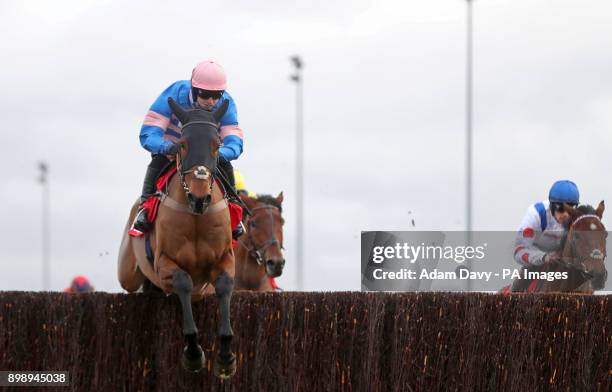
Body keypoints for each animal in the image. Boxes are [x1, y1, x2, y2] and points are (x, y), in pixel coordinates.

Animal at [117, 96, 237, 378]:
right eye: (182, 144)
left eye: (217, 145)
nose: (199, 197)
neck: (196, 216)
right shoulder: (164, 263)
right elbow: (183, 282)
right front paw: (193, 353)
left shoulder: (225, 259)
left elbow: (224, 286)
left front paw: (226, 357)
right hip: (127, 273)